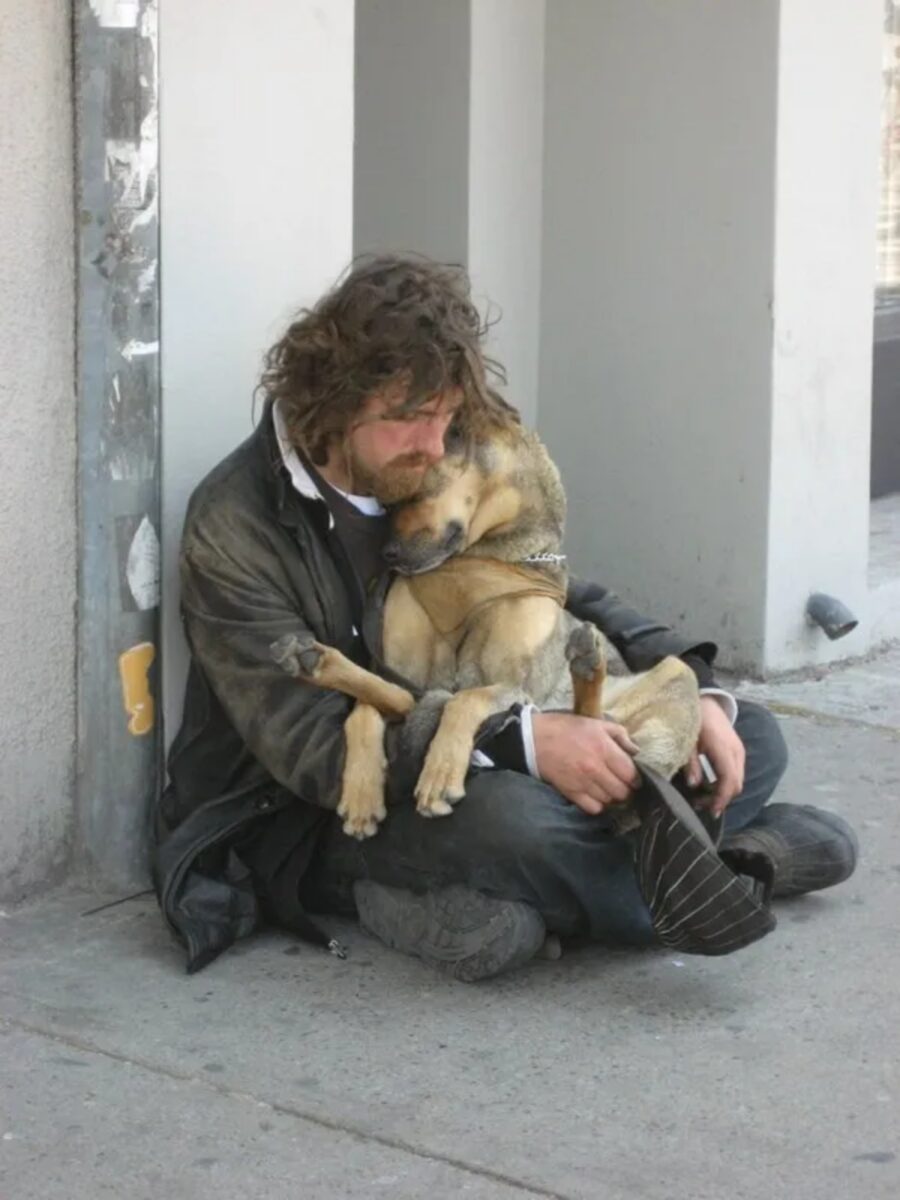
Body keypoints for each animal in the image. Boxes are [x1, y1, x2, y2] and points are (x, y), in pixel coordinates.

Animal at [271, 408, 700, 840]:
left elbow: (467, 699)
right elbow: (365, 709)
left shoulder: (516, 685)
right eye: (385, 504)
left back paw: (588, 662)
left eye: (414, 493)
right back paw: (316, 662)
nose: (387, 554)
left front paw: (440, 773)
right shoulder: (399, 670)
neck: (475, 563)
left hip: (672, 681)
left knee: (601, 738)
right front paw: (361, 790)